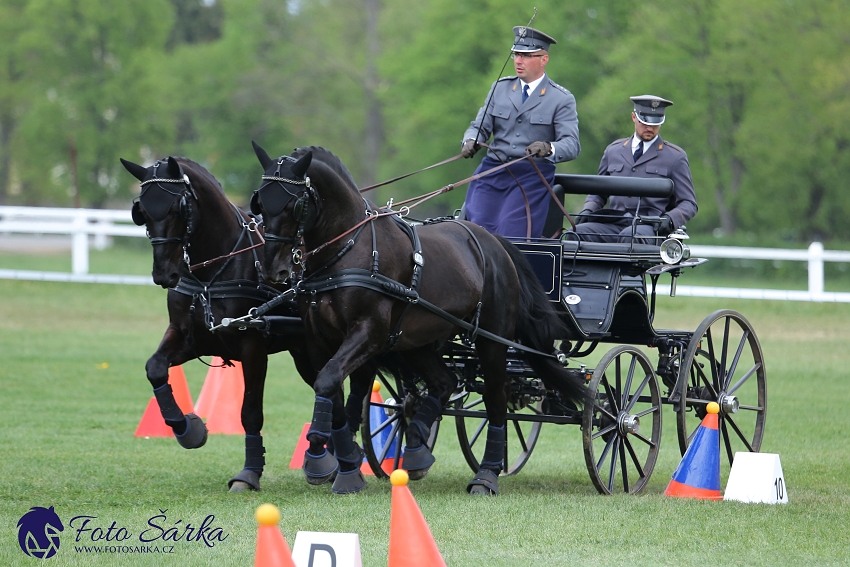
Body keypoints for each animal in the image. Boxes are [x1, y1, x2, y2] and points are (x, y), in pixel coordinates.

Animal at [119, 155, 332, 492]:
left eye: (178, 207)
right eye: (141, 211)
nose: (164, 274)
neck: (212, 275)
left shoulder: (253, 348)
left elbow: (251, 413)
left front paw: (249, 473)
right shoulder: (191, 338)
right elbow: (155, 368)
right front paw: (188, 429)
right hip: (302, 354)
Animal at [248, 144, 588, 494]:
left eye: (295, 204)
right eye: (258, 202)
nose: (273, 269)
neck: (347, 251)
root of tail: (495, 241)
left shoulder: (368, 333)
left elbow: (329, 382)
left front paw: (324, 456)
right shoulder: (318, 339)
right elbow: (333, 393)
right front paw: (341, 465)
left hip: (490, 340)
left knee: (497, 396)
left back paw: (487, 474)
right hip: (416, 341)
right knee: (444, 382)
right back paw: (415, 449)